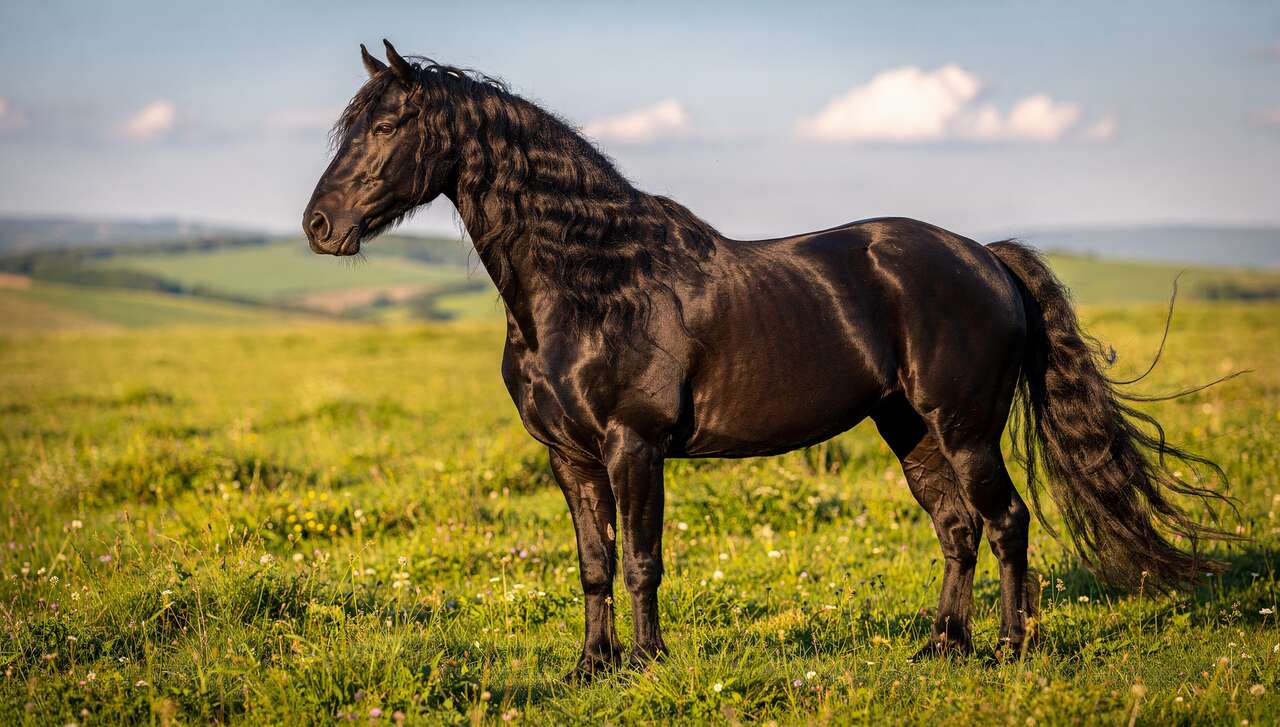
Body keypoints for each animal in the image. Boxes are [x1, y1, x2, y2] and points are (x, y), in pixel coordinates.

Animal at [303, 41, 1235, 680]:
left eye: (386, 125)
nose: (319, 226)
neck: (590, 280)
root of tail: (987, 258)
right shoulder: (569, 456)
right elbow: (595, 563)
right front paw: (590, 666)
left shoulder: (633, 444)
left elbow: (642, 560)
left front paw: (645, 662)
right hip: (908, 427)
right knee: (958, 529)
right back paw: (942, 644)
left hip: (965, 426)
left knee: (1005, 522)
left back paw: (1006, 647)